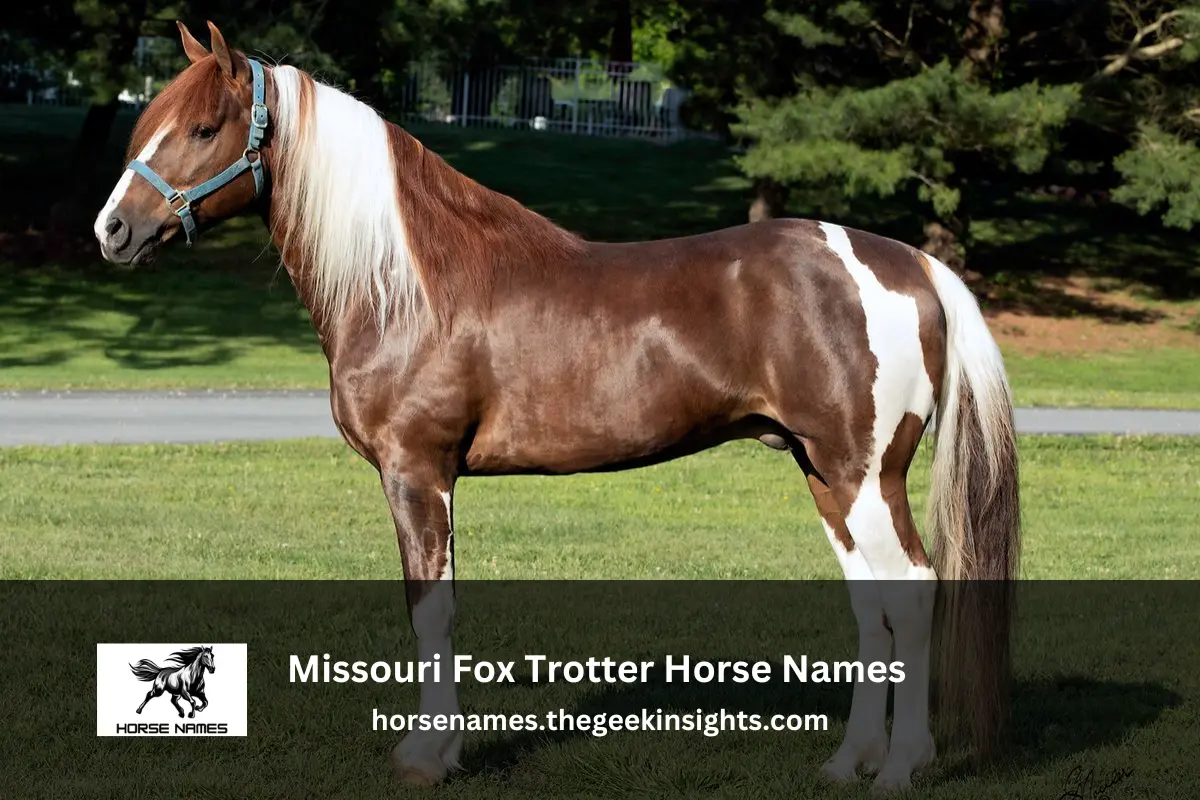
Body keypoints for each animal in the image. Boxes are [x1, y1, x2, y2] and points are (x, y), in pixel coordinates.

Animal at [95, 21, 1020, 794]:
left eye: (203, 129)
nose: (112, 231)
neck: (407, 286)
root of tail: (907, 262)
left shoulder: (416, 471)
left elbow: (431, 607)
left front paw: (427, 757)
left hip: (865, 476)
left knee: (913, 592)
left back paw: (900, 768)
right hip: (825, 473)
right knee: (873, 604)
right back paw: (847, 762)